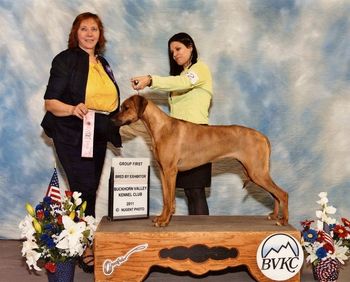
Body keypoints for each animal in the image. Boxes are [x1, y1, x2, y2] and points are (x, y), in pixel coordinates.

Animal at [113, 94, 288, 227]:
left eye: (126, 107)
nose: (112, 120)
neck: (160, 128)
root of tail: (263, 136)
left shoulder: (170, 171)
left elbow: (169, 199)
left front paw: (164, 221)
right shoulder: (163, 172)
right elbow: (166, 198)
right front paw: (162, 218)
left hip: (257, 172)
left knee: (282, 194)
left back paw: (284, 220)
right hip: (257, 172)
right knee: (275, 194)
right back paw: (274, 216)